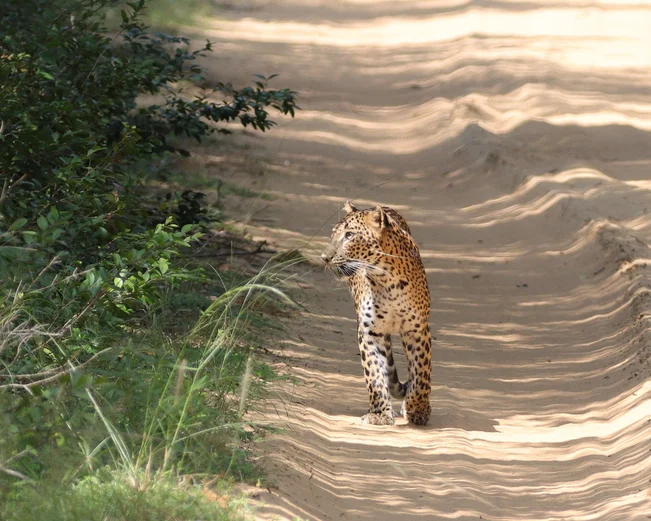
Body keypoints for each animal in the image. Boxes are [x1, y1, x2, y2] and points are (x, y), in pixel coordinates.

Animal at [321, 201, 432, 426]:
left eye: (349, 235)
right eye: (333, 234)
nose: (324, 257)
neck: (387, 281)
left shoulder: (417, 330)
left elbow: (421, 374)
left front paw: (417, 409)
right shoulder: (369, 332)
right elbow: (373, 373)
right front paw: (380, 414)